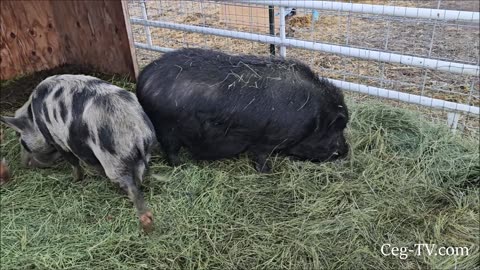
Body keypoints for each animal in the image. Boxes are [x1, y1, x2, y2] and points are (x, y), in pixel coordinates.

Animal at [0, 74, 156, 232]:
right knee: (138, 178)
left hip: (112, 158)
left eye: (21, 139)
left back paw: (145, 221)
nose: (24, 164)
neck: (35, 119)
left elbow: (76, 161)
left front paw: (75, 180)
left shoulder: (63, 141)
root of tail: (135, 129)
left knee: (129, 185)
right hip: (143, 153)